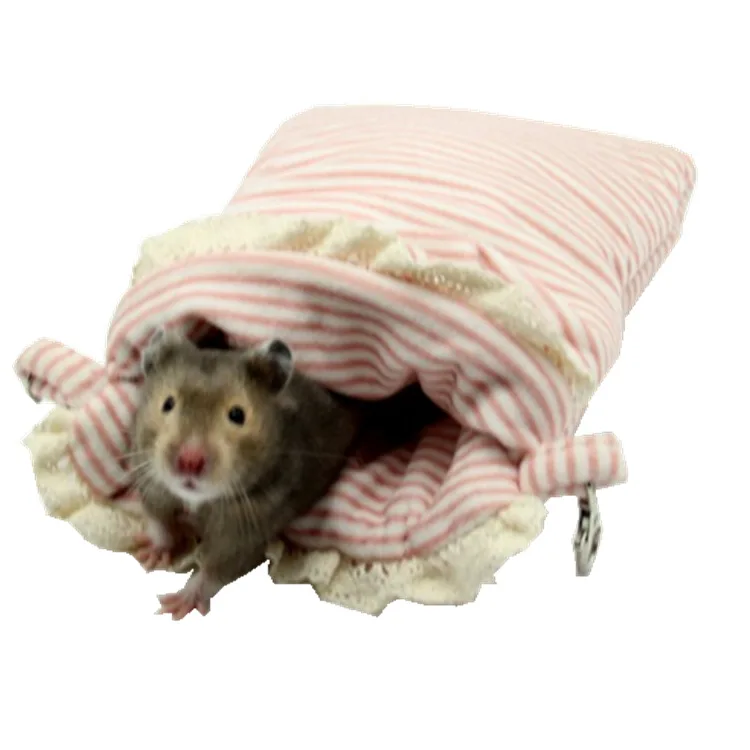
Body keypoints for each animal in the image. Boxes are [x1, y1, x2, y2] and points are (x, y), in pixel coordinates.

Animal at [130, 327, 442, 619]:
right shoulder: (152, 482)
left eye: (237, 414)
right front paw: (149, 554)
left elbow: (216, 569)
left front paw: (176, 604)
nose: (189, 462)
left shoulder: (249, 530)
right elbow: (158, 520)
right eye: (168, 404)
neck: (199, 500)